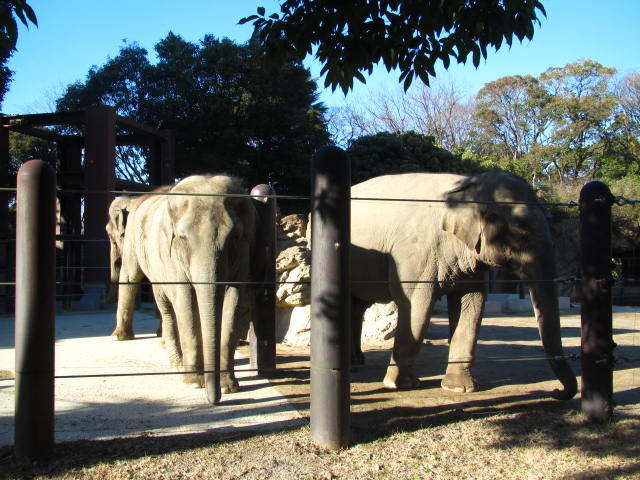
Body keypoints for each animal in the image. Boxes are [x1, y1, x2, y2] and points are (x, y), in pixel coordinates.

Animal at [112, 174, 257, 404]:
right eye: (182, 239)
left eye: (234, 237)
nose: (213, 400)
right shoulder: (171, 257)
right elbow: (186, 301)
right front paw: (194, 383)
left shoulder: (245, 251)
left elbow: (233, 300)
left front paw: (228, 387)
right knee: (148, 290)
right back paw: (171, 361)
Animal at [350, 170, 577, 400]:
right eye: (521, 228)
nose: (556, 392)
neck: (465, 186)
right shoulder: (415, 251)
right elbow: (417, 304)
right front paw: (400, 385)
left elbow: (471, 304)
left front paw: (460, 388)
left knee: (357, 307)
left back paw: (356, 363)